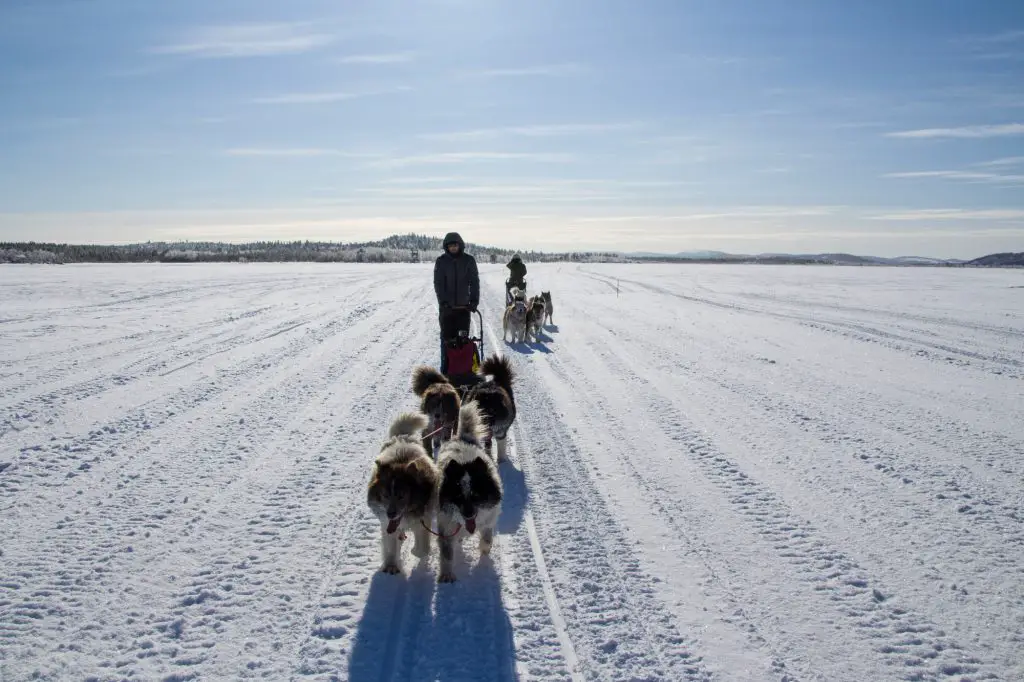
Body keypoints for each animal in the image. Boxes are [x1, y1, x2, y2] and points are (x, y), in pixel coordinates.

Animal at [368, 411, 440, 569]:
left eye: (401, 496)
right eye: (385, 495)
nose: (390, 514)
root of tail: (403, 436)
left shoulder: (422, 521)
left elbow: (422, 549)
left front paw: (414, 551)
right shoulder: (387, 525)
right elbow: (390, 546)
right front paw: (390, 566)